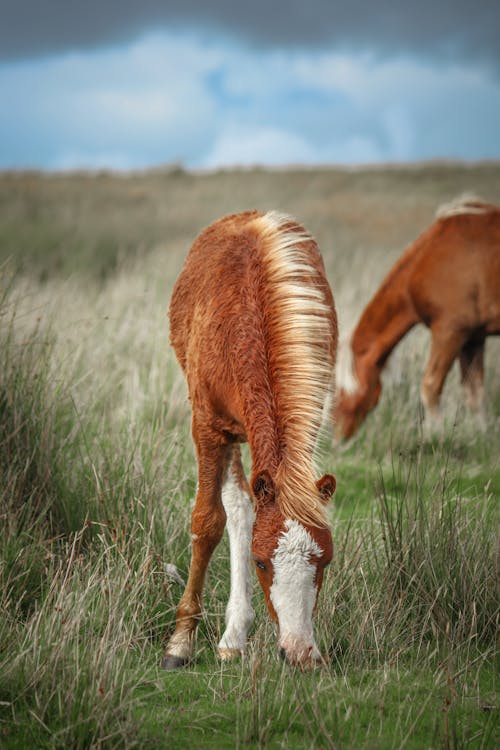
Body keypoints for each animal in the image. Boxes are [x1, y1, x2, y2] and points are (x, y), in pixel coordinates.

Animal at [162, 210, 338, 668]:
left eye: (325, 562)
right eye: (261, 563)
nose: (299, 652)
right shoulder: (208, 426)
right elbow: (207, 523)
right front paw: (179, 643)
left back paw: (233, 635)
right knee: (238, 506)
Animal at [334, 197, 498, 440]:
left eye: (339, 392)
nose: (337, 436)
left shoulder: (450, 332)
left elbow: (430, 387)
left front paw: (436, 436)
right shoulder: (474, 338)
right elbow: (475, 394)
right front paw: (482, 437)